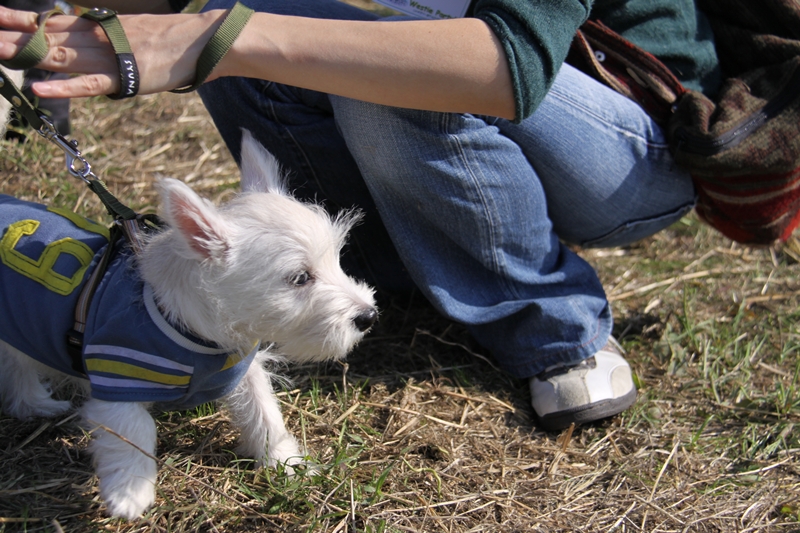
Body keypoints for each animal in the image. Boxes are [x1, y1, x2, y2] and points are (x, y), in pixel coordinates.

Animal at [0, 130, 378, 520]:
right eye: (300, 278)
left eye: (335, 259)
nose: (368, 316)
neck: (196, 332)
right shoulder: (118, 375)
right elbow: (134, 431)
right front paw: (130, 493)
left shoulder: (244, 371)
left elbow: (264, 412)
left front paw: (285, 464)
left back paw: (35, 405)